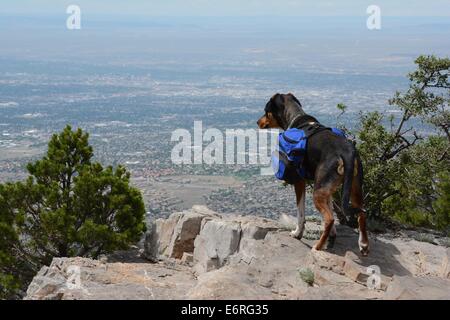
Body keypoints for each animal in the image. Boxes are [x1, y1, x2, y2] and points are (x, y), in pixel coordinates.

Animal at [256, 92, 370, 255]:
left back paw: (318, 246)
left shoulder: (299, 181)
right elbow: (330, 207)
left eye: (266, 111)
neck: (296, 117)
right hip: (354, 187)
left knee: (329, 219)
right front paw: (332, 235)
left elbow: (301, 213)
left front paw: (297, 233)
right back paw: (363, 244)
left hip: (318, 191)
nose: (257, 122)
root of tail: (346, 152)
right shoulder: (328, 189)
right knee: (361, 213)